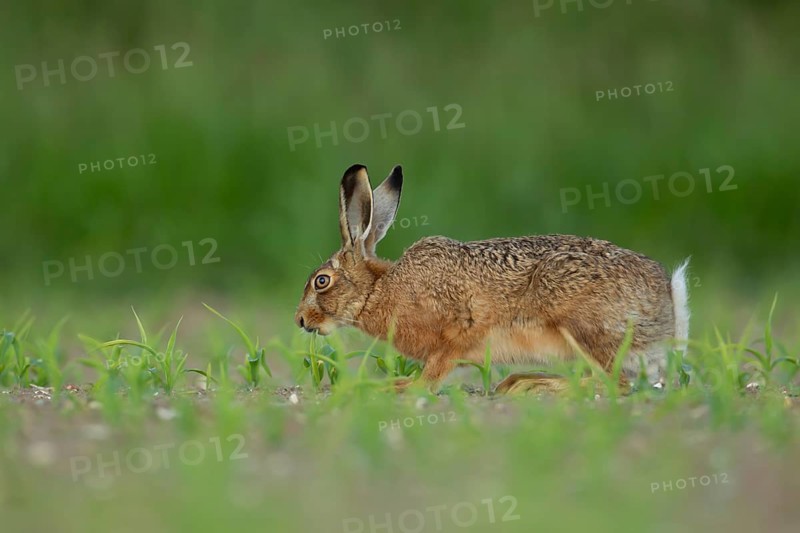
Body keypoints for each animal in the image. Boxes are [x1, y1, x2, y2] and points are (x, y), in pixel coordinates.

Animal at [295, 163, 690, 393]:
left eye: (321, 281)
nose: (299, 320)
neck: (378, 289)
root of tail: (668, 310)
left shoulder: (456, 333)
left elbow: (433, 374)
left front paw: (405, 386)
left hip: (582, 326)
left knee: (615, 382)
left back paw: (532, 386)